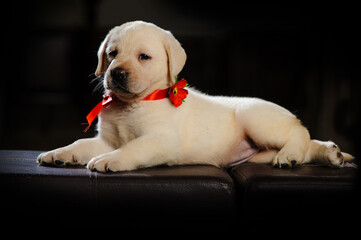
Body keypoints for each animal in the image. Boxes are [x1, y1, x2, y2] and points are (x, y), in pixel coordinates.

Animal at [36, 20, 352, 171]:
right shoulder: (106, 140)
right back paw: (330, 154)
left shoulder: (161, 140)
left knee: (300, 133)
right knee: (309, 146)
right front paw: (59, 154)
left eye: (143, 57)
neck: (135, 103)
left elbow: (132, 148)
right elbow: (81, 142)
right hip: (258, 155)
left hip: (256, 119)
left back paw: (291, 155)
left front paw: (108, 161)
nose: (117, 73)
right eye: (112, 54)